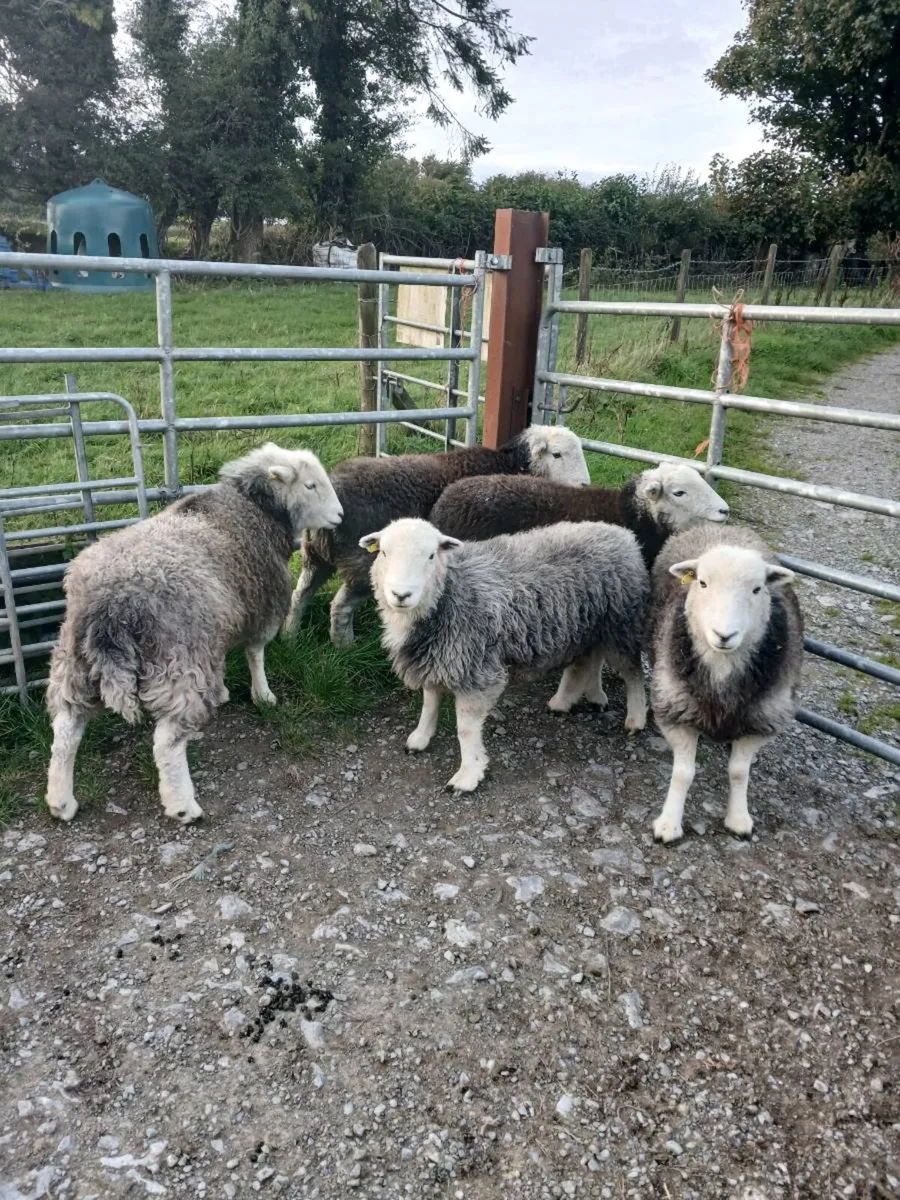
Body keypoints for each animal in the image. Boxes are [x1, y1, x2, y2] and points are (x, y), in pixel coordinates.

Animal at [45, 443, 343, 826]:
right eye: (310, 485)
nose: (340, 515)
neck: (252, 509)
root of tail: (111, 605)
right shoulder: (259, 606)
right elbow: (255, 653)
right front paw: (263, 695)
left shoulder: (223, 615)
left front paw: (224, 690)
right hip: (177, 657)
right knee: (167, 741)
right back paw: (183, 805)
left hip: (75, 658)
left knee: (66, 729)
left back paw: (61, 801)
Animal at [284, 424, 591, 647]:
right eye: (557, 454)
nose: (585, 486)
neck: (511, 465)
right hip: (362, 563)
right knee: (341, 606)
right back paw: (345, 646)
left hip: (315, 556)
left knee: (299, 595)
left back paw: (290, 637)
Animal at [359, 518, 650, 794]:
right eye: (383, 552)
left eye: (431, 555)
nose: (401, 594)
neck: (450, 593)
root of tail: (622, 534)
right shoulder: (438, 656)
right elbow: (429, 701)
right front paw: (420, 738)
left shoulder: (475, 668)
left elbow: (465, 729)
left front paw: (468, 775)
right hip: (588, 625)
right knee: (587, 660)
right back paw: (573, 698)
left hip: (620, 622)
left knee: (632, 671)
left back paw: (635, 718)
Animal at [648, 523, 803, 844]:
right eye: (703, 583)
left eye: (758, 589)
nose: (724, 634)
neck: (721, 669)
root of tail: (724, 528)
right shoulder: (675, 709)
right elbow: (683, 773)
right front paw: (669, 824)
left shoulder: (763, 720)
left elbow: (739, 772)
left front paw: (739, 818)